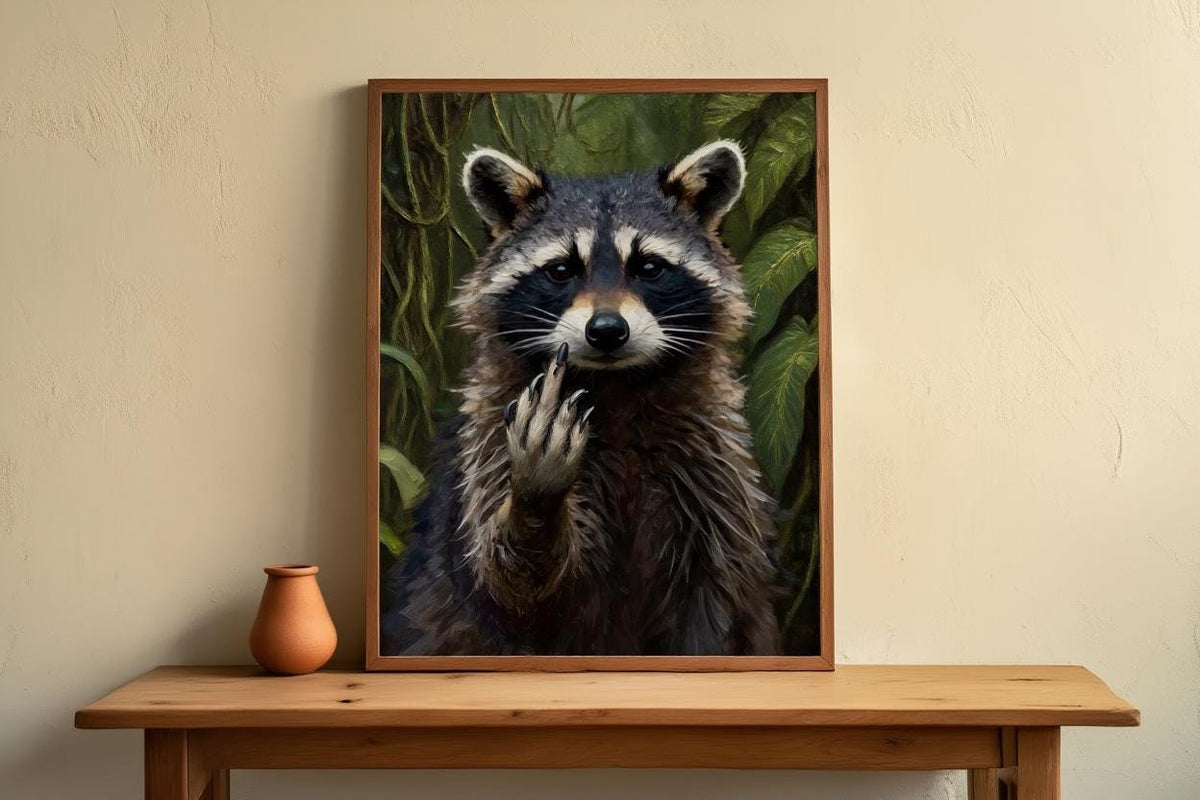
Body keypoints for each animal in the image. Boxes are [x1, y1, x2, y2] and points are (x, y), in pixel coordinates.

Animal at [381, 140, 783, 656]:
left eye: (649, 267)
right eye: (561, 270)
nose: (607, 330)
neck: (615, 386)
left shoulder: (713, 471)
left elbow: (716, 597)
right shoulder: (486, 441)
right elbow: (509, 583)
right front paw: (535, 498)